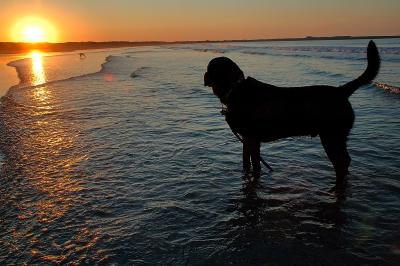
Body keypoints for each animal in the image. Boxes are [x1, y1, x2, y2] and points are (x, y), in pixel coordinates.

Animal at [205, 41, 380, 184]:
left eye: (210, 68)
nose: (204, 75)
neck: (236, 89)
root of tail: (341, 91)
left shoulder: (252, 139)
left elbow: (255, 166)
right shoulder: (247, 140)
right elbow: (246, 163)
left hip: (332, 136)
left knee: (341, 162)